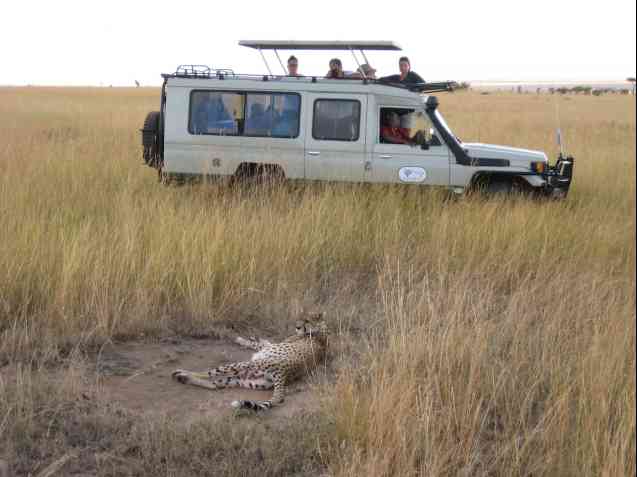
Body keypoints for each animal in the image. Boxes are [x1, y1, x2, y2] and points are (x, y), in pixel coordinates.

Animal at [170, 312, 328, 410]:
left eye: (307, 320)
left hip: (243, 365)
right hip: (245, 380)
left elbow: (257, 344)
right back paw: (184, 378)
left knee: (208, 374)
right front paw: (253, 337)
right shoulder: (272, 345)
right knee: (215, 385)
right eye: (301, 318)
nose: (297, 326)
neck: (322, 328)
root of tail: (285, 373)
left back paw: (181, 373)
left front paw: (241, 339)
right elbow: (264, 342)